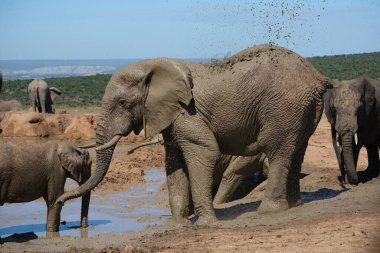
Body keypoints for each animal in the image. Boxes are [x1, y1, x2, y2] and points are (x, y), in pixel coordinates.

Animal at [56, 44, 330, 225]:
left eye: (122, 103)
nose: (59, 201)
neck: (153, 65)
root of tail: (316, 77)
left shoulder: (188, 113)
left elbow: (204, 150)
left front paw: (206, 223)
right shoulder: (171, 116)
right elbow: (173, 162)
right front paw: (179, 224)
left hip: (282, 107)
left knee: (278, 150)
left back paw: (269, 211)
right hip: (303, 109)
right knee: (297, 150)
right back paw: (295, 205)